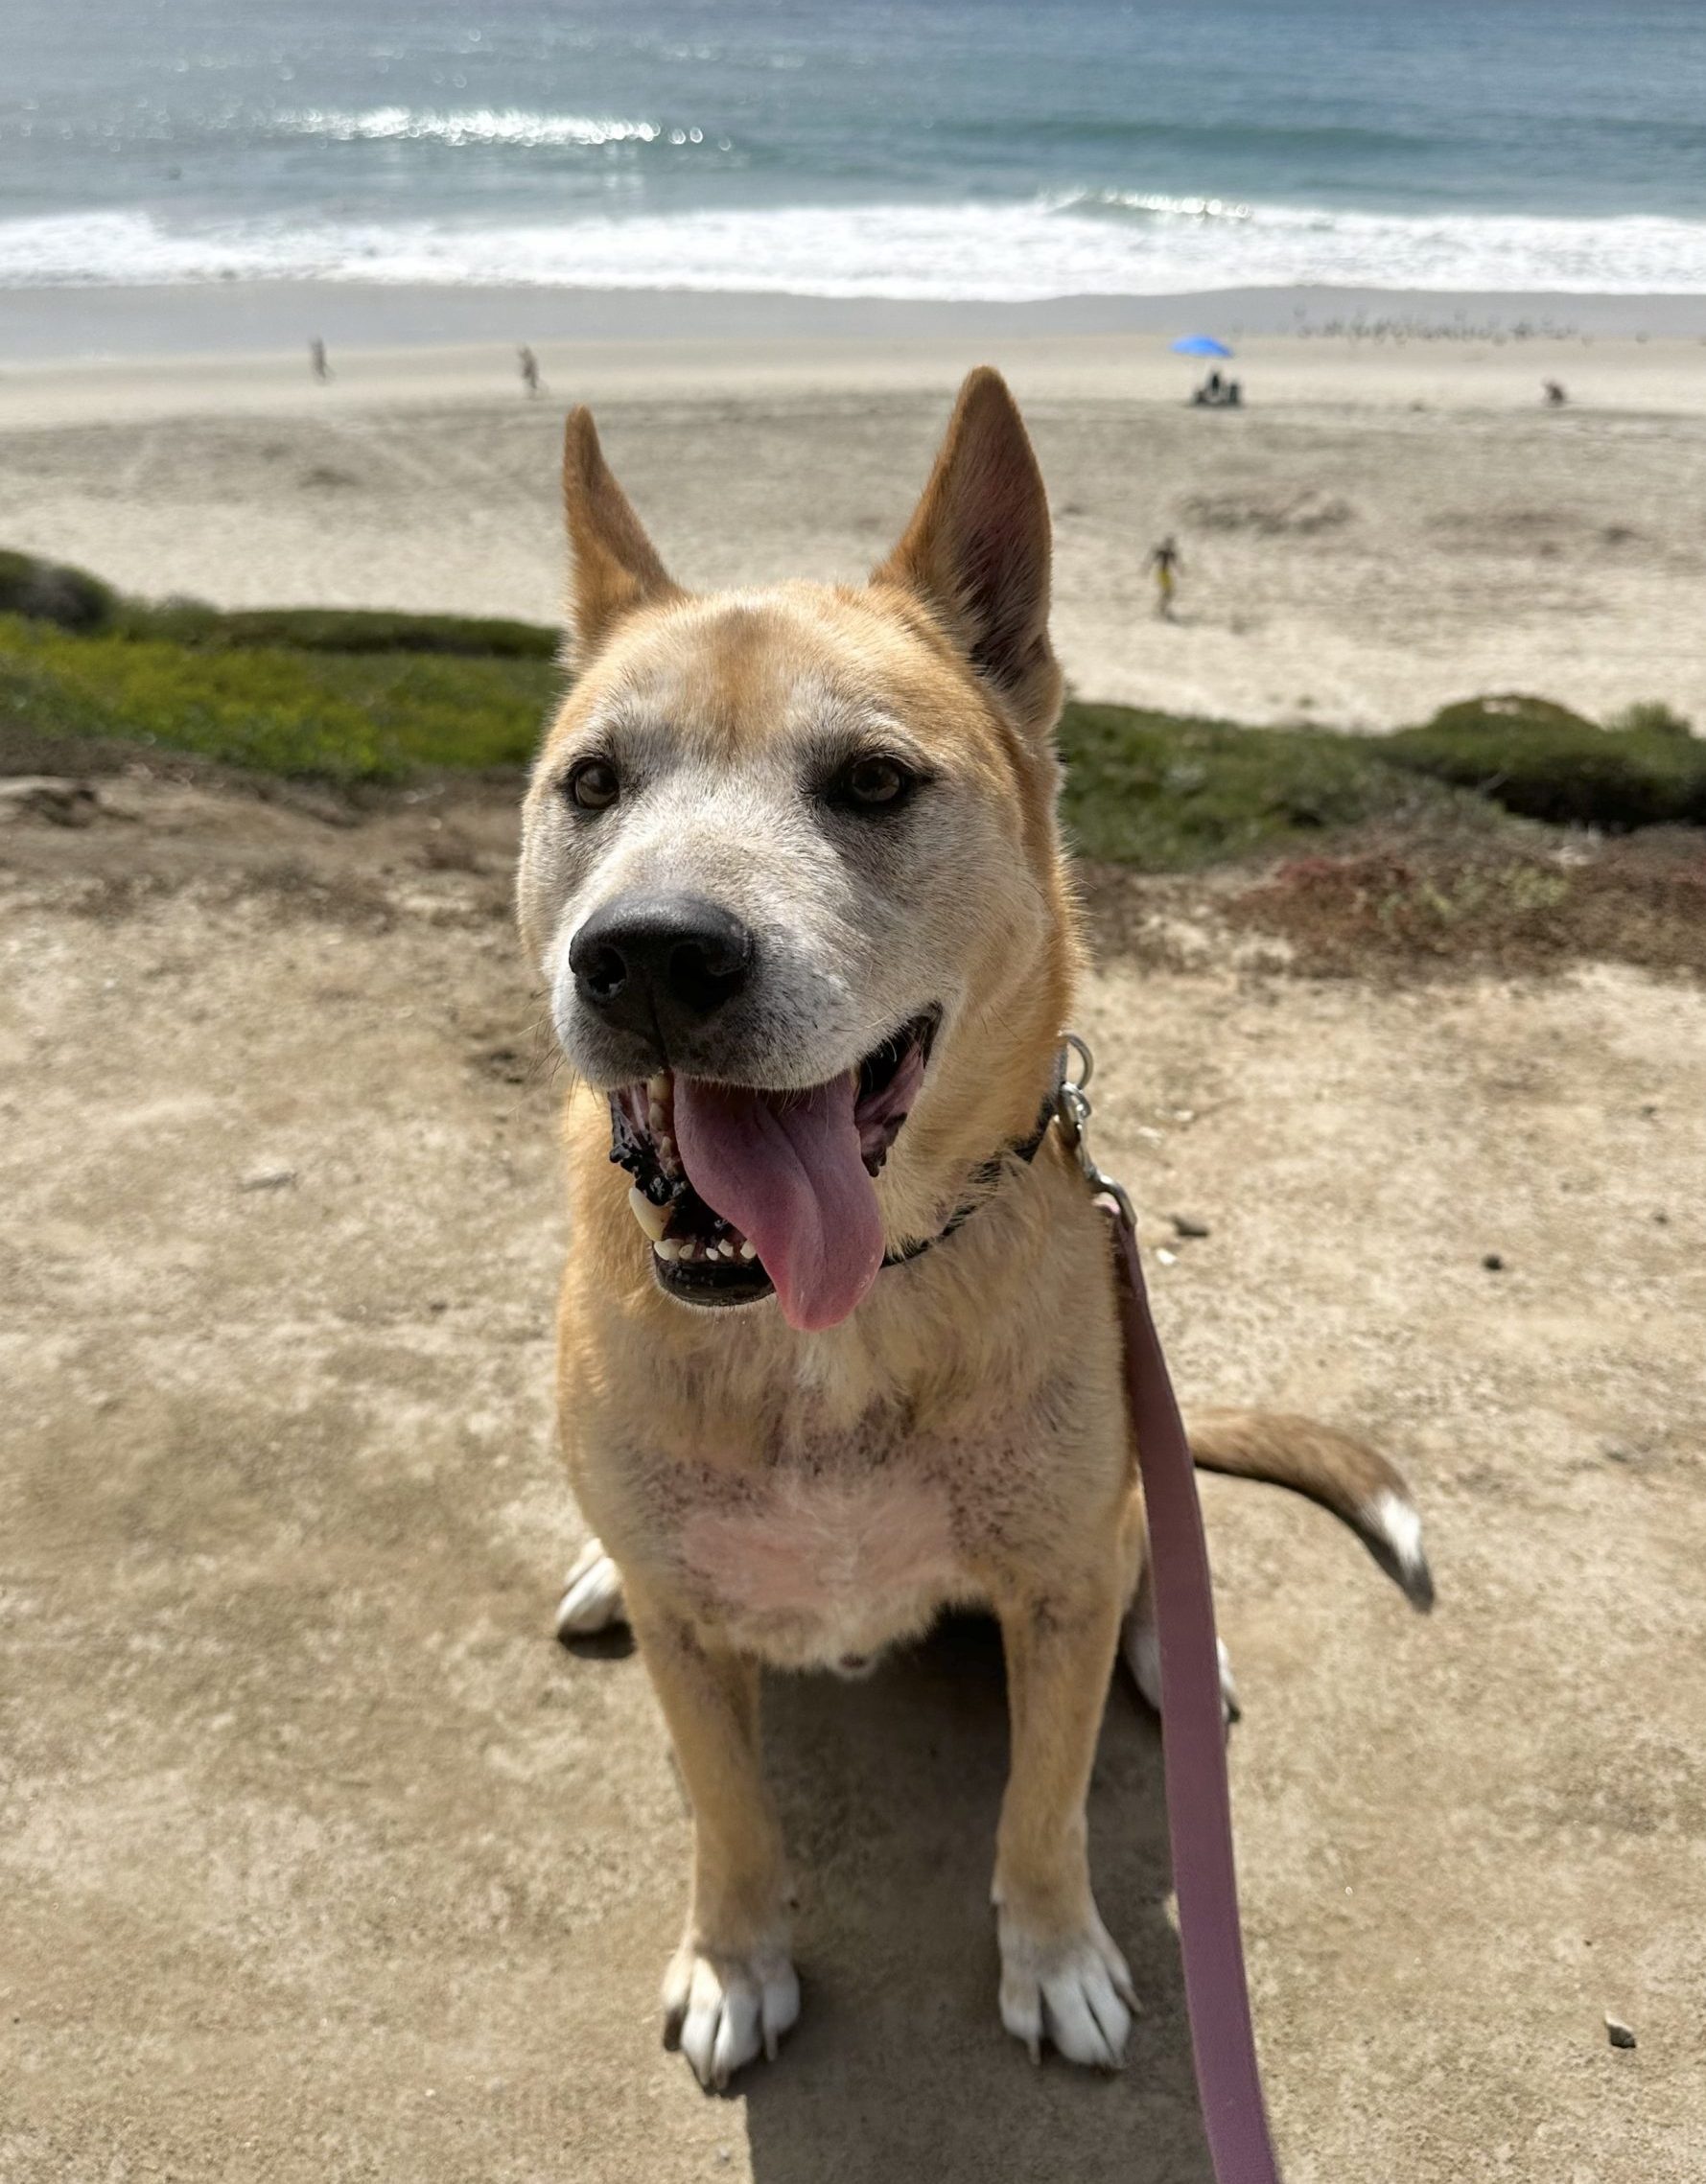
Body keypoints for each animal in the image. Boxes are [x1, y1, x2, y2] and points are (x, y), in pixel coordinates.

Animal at [515, 366, 1424, 2087]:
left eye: (871, 781)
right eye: (591, 784)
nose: (647, 955)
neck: (832, 1314)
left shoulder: (1052, 1599)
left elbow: (1041, 1807)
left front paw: (1053, 1956)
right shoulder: (692, 1641)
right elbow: (726, 1811)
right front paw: (735, 1956)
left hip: (1115, 1504)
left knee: (1149, 1545)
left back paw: (1179, 1652)